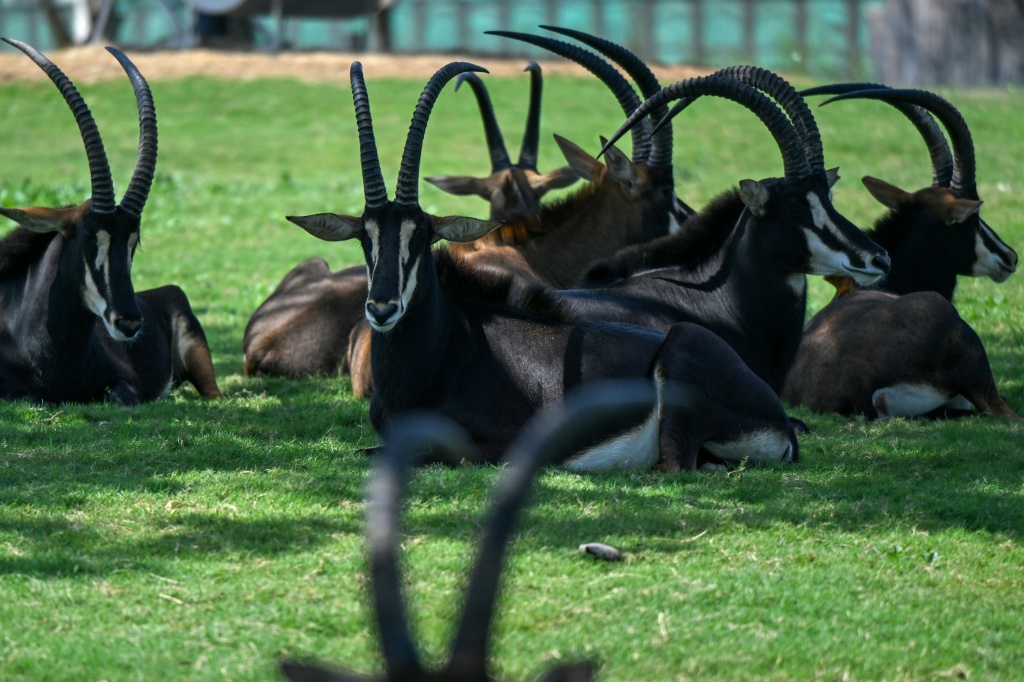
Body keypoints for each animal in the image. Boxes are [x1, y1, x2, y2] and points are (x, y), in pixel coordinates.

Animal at [0, 39, 220, 404]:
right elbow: (31, 395)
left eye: (133, 243)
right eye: (90, 239)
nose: (129, 324)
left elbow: (116, 395)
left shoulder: (126, 382)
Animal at [285, 61, 801, 472]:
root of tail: (783, 423)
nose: (383, 309)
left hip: (683, 356)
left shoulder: (489, 446)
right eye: (364, 237)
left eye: (423, 234)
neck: (439, 355)